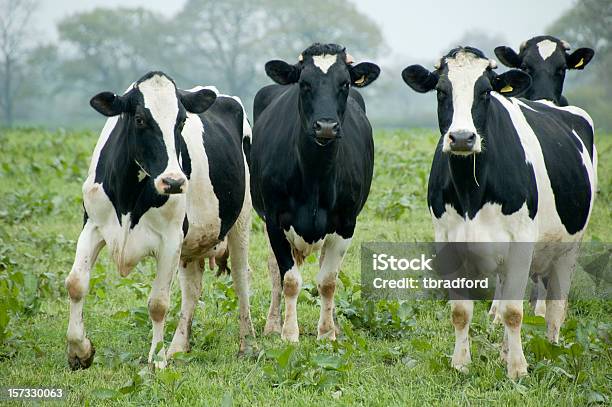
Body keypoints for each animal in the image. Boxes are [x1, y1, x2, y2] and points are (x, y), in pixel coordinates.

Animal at [67, 71, 256, 372]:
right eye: (139, 119)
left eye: (181, 121)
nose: (174, 181)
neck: (128, 196)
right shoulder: (92, 225)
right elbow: (75, 284)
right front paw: (79, 351)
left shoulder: (169, 239)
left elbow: (158, 303)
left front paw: (156, 359)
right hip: (192, 244)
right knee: (192, 290)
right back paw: (178, 347)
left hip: (241, 220)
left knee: (241, 279)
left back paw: (247, 345)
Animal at [252, 44, 378, 342]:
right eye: (304, 84)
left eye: (344, 84)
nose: (326, 126)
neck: (315, 174)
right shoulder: (275, 220)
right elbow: (289, 280)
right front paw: (289, 333)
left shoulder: (346, 223)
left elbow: (328, 281)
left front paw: (327, 333)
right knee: (275, 271)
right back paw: (273, 324)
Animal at [402, 47, 596, 380]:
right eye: (441, 91)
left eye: (485, 92)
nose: (462, 138)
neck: (471, 190)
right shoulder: (447, 242)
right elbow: (461, 311)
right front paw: (461, 363)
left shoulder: (521, 243)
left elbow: (514, 312)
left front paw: (518, 369)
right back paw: (505, 351)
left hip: (569, 246)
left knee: (555, 306)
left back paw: (551, 349)